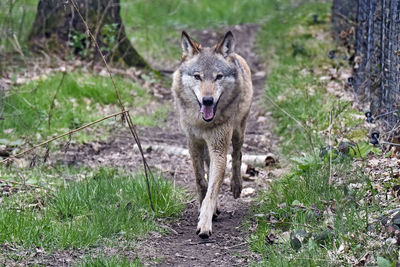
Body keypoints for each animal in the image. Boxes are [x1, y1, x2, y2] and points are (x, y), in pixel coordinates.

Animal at [171, 30, 253, 240]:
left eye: (218, 77)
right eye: (197, 76)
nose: (207, 100)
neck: (203, 123)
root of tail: (235, 55)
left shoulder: (218, 147)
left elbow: (212, 188)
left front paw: (205, 224)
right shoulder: (193, 143)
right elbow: (201, 182)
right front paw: (208, 211)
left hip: (238, 131)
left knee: (237, 154)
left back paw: (236, 186)